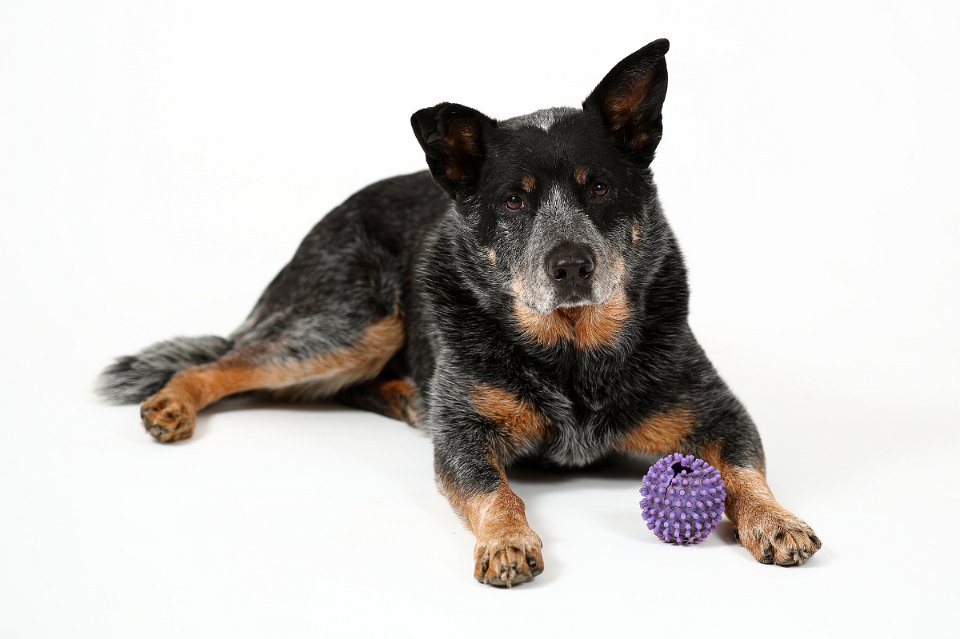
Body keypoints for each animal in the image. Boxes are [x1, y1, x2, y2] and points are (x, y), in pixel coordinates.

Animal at [98, 39, 821, 586]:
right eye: (513, 200)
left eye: (598, 187)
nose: (570, 263)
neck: (572, 354)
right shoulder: (464, 436)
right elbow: (490, 488)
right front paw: (505, 541)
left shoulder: (715, 409)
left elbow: (745, 467)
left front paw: (775, 519)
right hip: (353, 319)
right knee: (231, 360)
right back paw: (174, 401)